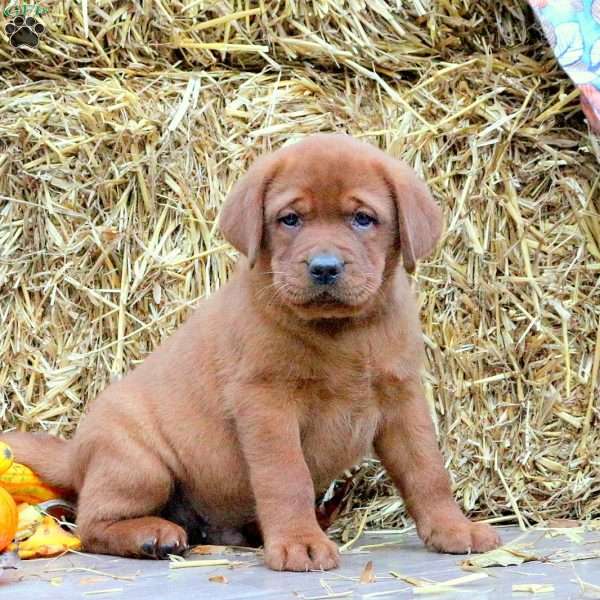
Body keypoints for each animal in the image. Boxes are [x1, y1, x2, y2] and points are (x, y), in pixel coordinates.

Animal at [3, 134, 502, 568]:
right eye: (290, 219)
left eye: (363, 219)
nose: (324, 268)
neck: (343, 332)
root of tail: (75, 452)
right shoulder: (266, 402)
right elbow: (286, 477)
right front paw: (299, 543)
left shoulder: (402, 398)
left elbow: (427, 471)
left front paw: (453, 528)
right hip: (138, 462)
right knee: (90, 523)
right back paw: (150, 533)